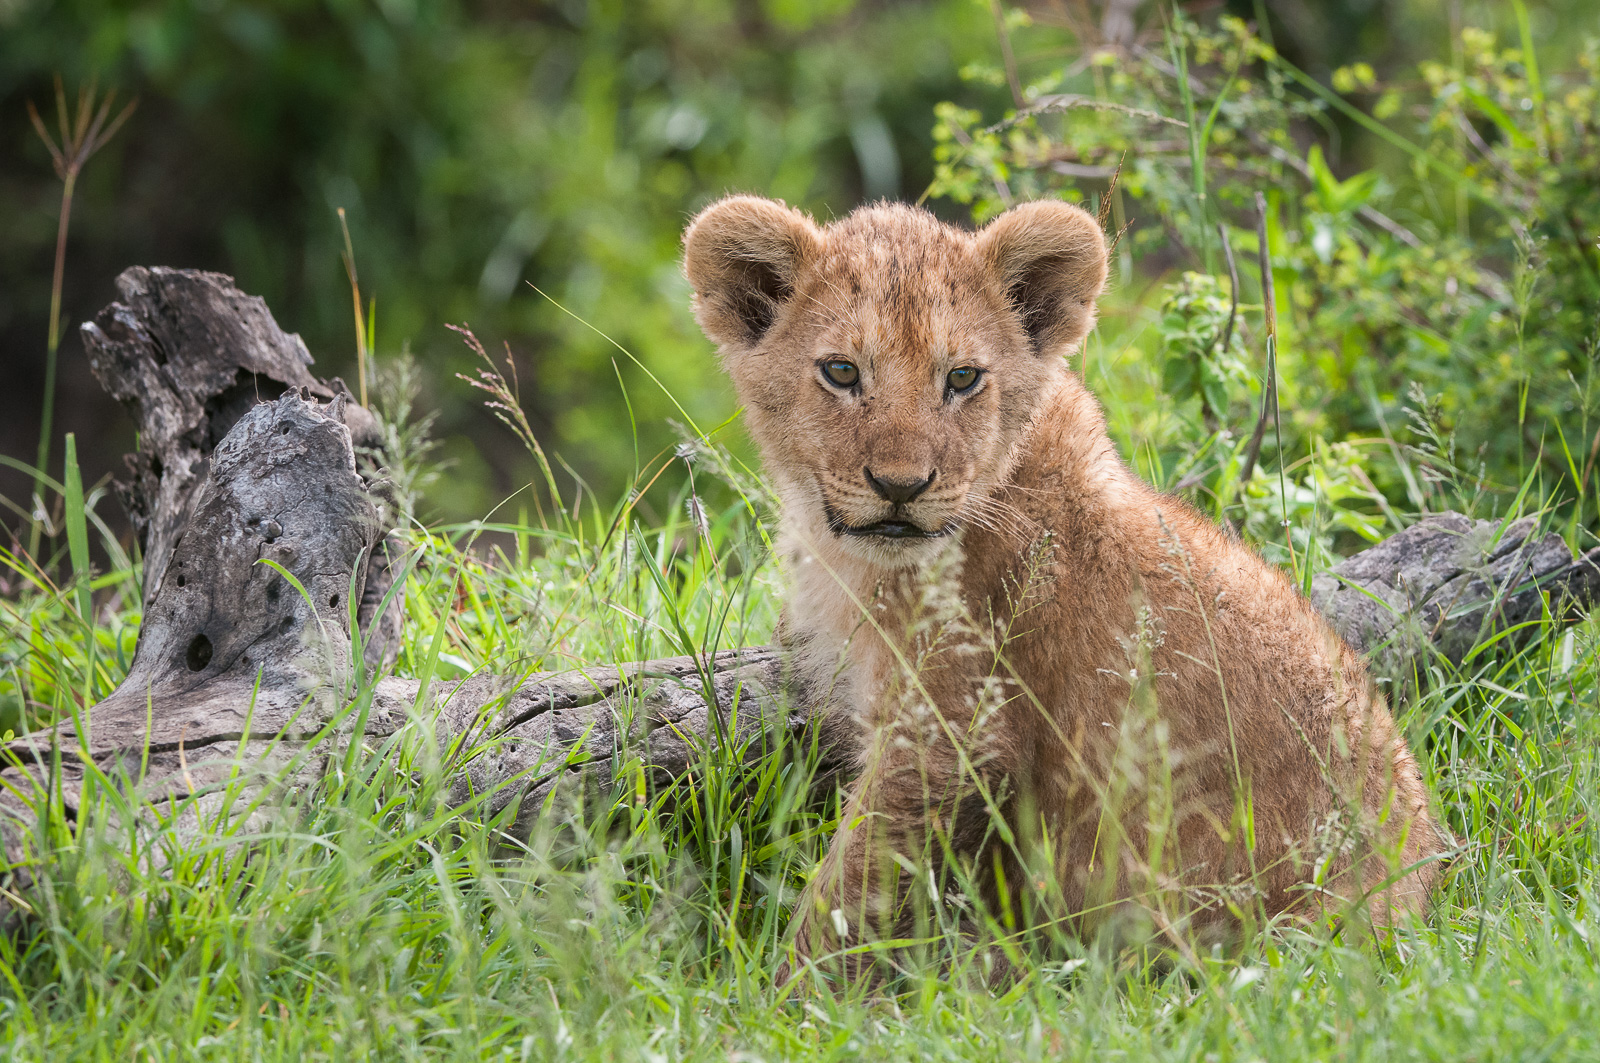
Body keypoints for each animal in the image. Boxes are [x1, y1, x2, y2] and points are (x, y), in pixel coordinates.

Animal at [681, 194, 1445, 983]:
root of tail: (1410, 907)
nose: (901, 487)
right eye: (840, 371)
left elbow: (847, 890)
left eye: (962, 378)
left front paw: (775, 994)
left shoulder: (951, 734)